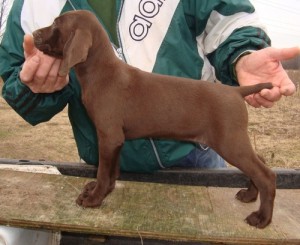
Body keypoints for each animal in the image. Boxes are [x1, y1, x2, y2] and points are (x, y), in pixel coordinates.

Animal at [33, 9, 276, 228]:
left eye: (55, 24)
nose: (34, 34)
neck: (101, 73)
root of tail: (236, 91)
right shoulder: (116, 139)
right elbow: (112, 172)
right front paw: (103, 191)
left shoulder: (108, 136)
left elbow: (103, 171)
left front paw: (94, 198)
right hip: (234, 141)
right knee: (261, 161)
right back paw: (249, 195)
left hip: (229, 142)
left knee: (266, 175)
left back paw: (262, 218)